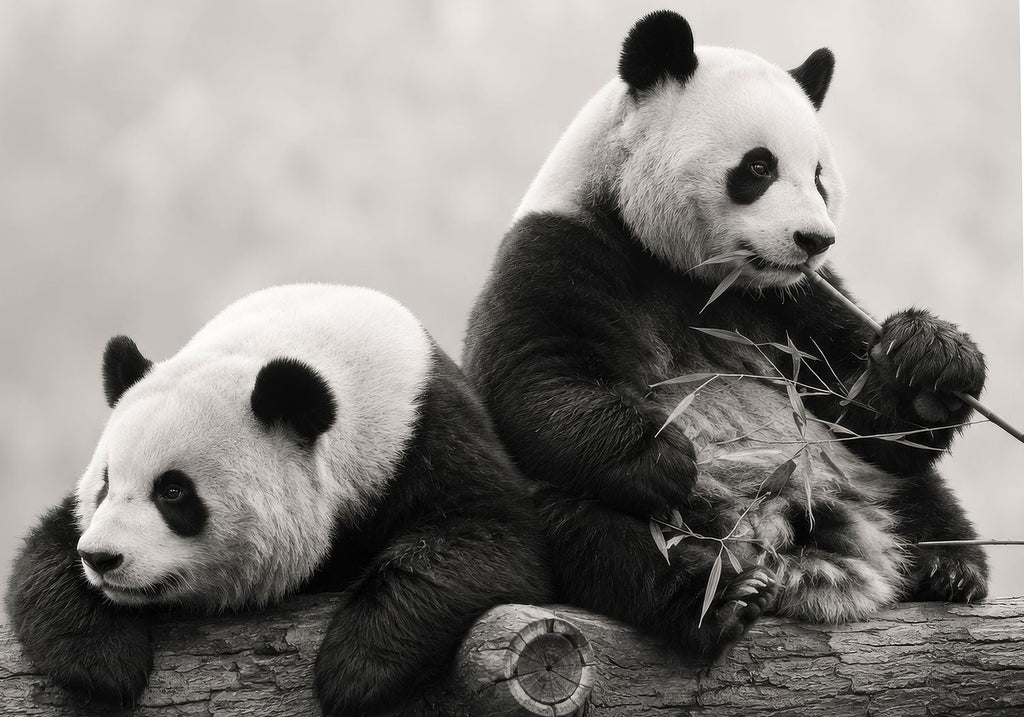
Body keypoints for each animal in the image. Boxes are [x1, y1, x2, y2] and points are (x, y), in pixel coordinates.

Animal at [6, 283, 553, 715]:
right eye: (104, 484)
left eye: (173, 491)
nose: (101, 558)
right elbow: (47, 551)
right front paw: (102, 662)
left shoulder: (423, 435)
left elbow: (482, 536)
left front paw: (354, 670)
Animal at [463, 10, 987, 659]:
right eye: (758, 167)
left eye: (818, 176)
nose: (815, 239)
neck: (697, 274)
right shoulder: (562, 249)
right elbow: (535, 379)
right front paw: (660, 451)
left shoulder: (794, 299)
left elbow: (864, 413)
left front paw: (932, 359)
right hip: (638, 516)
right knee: (589, 526)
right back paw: (716, 596)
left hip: (857, 479)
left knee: (915, 488)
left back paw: (948, 569)